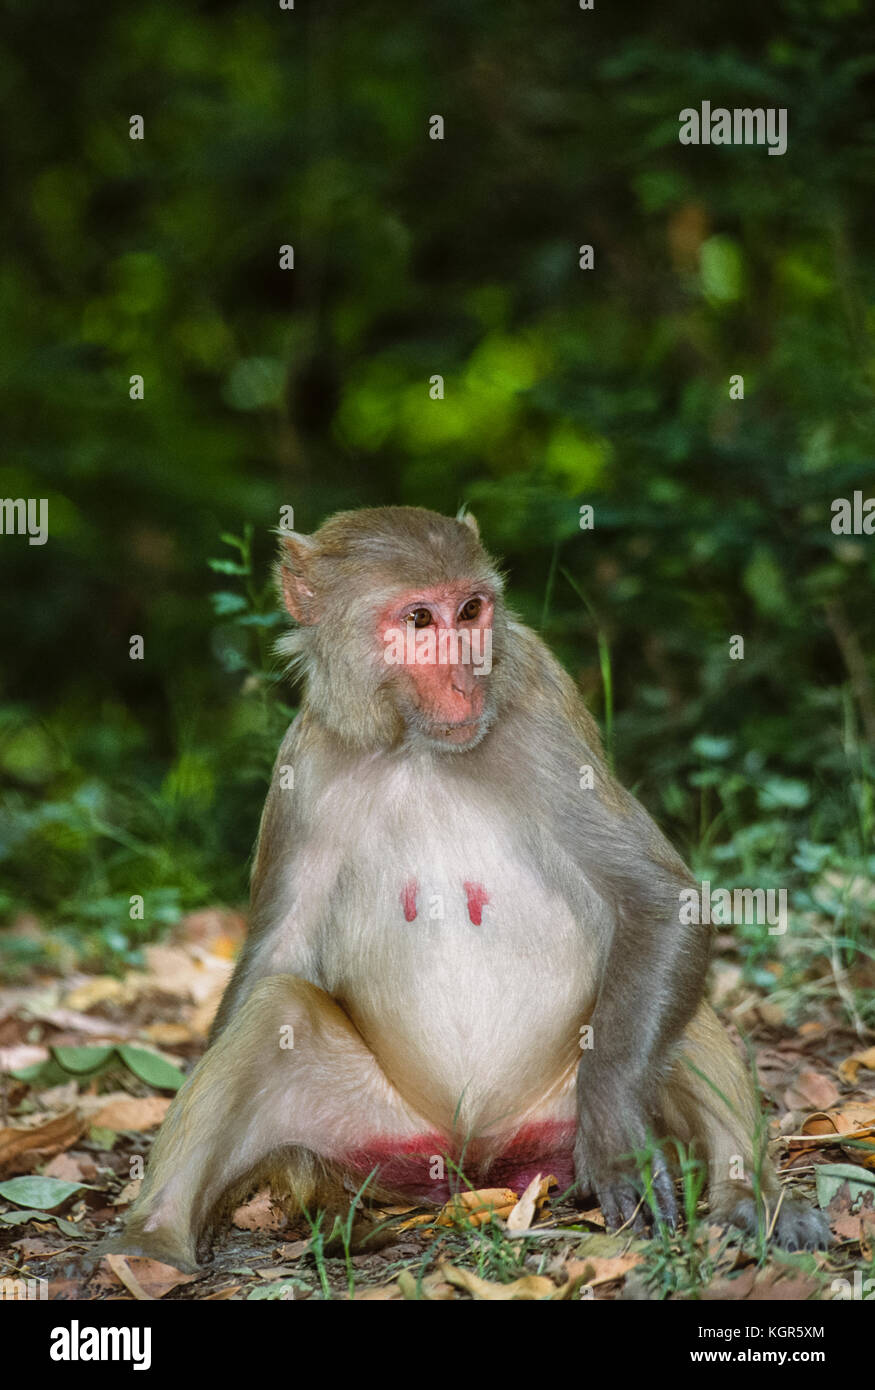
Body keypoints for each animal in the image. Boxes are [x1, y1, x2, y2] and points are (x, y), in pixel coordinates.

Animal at [114, 505, 823, 1267]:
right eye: (420, 619)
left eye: (473, 610)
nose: (468, 676)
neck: (414, 747)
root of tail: (474, 1162)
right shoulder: (303, 765)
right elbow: (278, 955)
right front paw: (293, 1186)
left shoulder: (543, 716)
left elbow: (659, 902)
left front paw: (617, 1137)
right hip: (379, 1130)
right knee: (277, 1010)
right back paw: (150, 1246)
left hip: (551, 1118)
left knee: (677, 1008)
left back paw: (751, 1200)